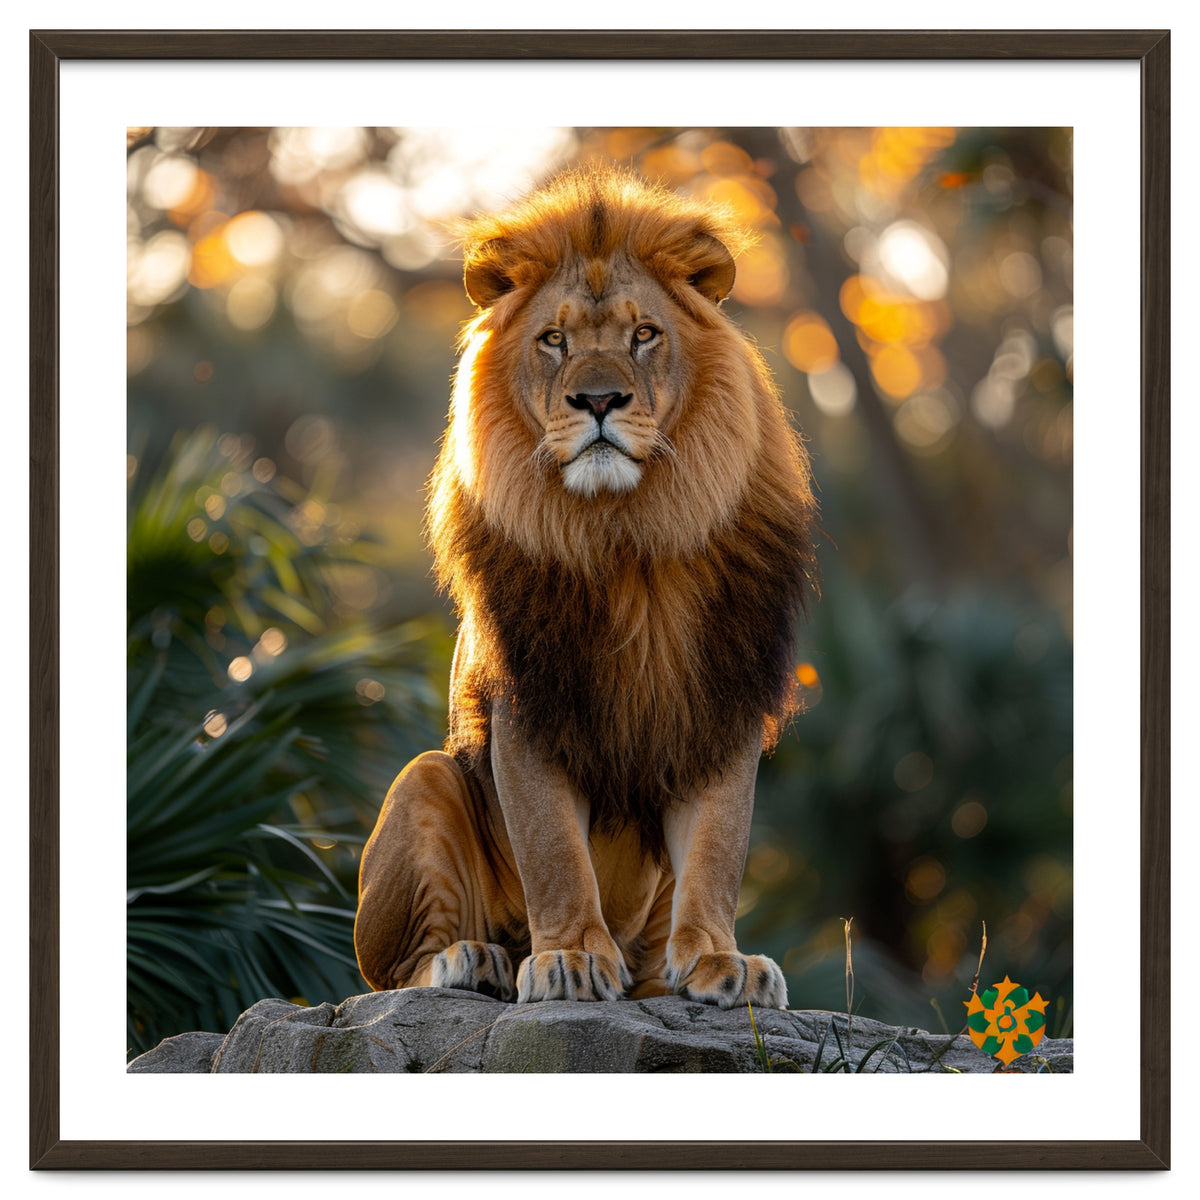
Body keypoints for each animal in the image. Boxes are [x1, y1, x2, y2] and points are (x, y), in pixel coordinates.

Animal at [354, 167, 816, 1010]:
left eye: (644, 335)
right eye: (554, 340)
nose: (598, 401)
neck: (627, 537)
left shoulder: (721, 702)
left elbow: (717, 849)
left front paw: (720, 961)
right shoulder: (528, 704)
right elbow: (554, 852)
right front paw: (567, 956)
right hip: (425, 779)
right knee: (392, 974)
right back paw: (476, 960)